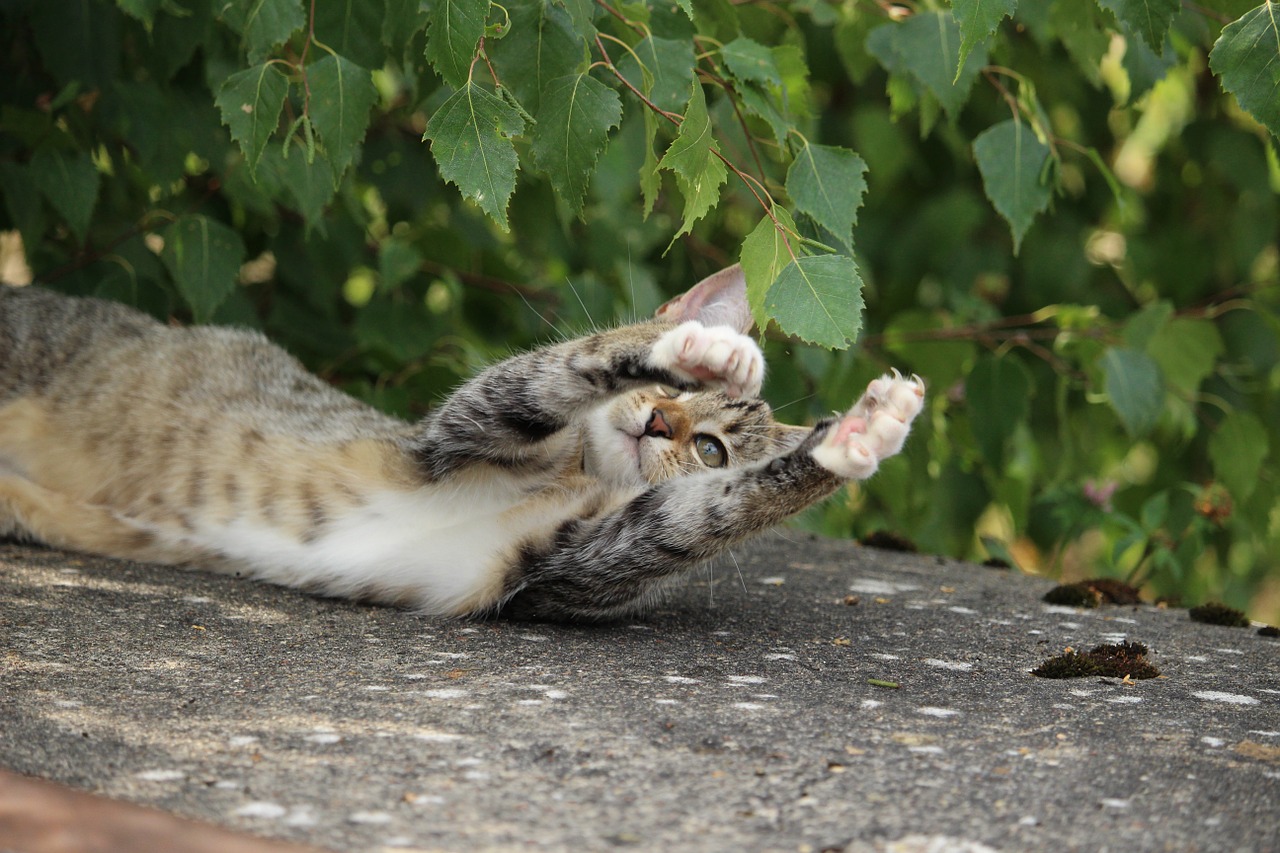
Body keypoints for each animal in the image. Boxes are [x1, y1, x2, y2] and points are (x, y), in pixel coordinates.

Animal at [0, 266, 926, 617]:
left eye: (712, 451)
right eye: (671, 404)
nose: (659, 421)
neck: (572, 472)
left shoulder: (556, 565)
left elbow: (694, 522)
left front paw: (858, 435)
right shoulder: (453, 434)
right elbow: (554, 369)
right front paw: (695, 345)